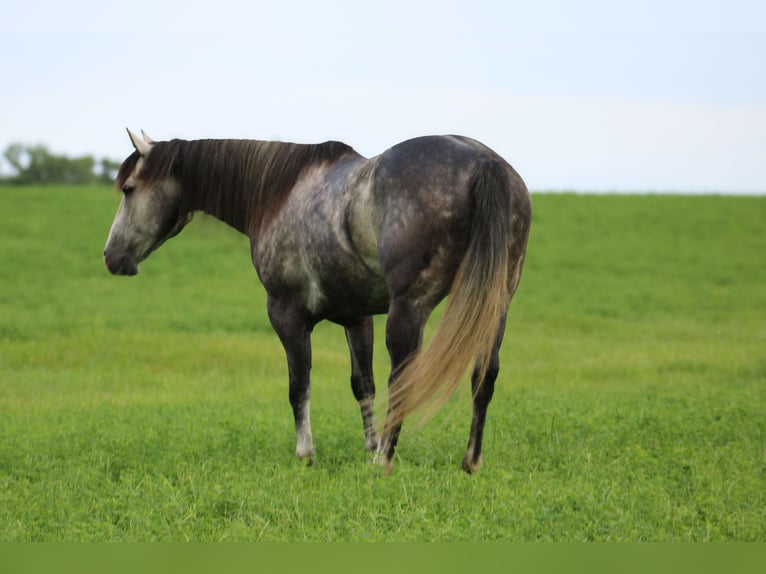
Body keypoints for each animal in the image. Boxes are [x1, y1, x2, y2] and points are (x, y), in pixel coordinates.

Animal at [103, 128, 531, 473]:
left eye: (128, 189)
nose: (111, 256)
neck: (278, 196)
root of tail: (483, 163)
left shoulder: (287, 315)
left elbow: (300, 386)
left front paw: (306, 453)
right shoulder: (357, 317)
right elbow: (363, 385)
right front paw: (369, 444)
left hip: (410, 310)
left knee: (404, 377)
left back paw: (385, 462)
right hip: (495, 307)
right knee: (484, 375)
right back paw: (469, 461)